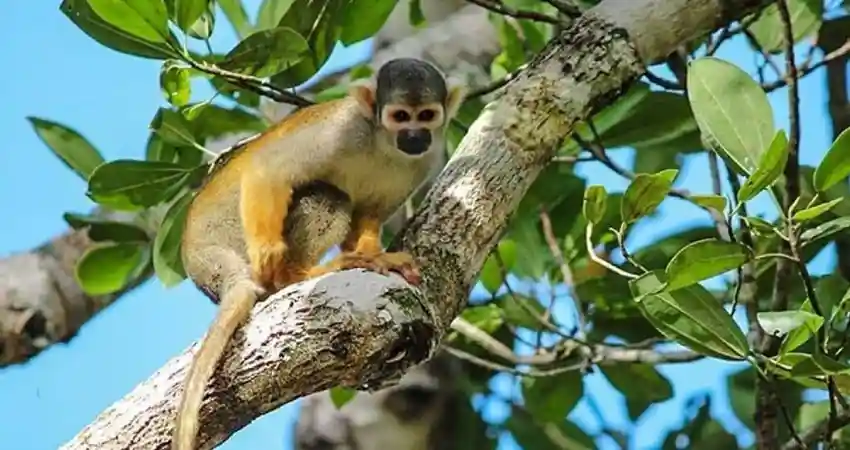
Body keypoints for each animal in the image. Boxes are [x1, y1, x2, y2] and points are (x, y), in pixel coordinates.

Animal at [172, 57, 466, 450]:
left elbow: (369, 214)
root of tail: (201, 261)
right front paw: (269, 252)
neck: (383, 144)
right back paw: (294, 275)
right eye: (401, 116)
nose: (416, 136)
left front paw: (376, 255)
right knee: (329, 196)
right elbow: (268, 169)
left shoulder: (428, 157)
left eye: (427, 115)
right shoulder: (341, 131)